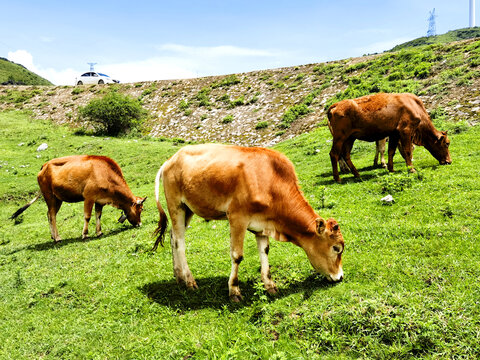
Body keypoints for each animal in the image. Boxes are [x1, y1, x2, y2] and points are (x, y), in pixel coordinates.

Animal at [9, 155, 144, 242]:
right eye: (140, 209)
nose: (139, 224)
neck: (105, 174)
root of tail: (44, 165)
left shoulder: (100, 200)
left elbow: (98, 215)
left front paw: (99, 232)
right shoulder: (89, 197)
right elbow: (87, 216)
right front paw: (85, 234)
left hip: (57, 199)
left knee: (49, 214)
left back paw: (53, 236)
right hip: (49, 196)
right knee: (52, 215)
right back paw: (57, 238)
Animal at [154, 143, 344, 300]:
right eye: (336, 248)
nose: (340, 276)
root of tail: (171, 159)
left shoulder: (263, 224)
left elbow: (265, 252)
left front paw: (269, 285)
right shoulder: (237, 217)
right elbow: (237, 255)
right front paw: (234, 291)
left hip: (188, 209)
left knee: (173, 236)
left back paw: (178, 276)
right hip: (176, 205)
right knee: (180, 242)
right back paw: (190, 281)